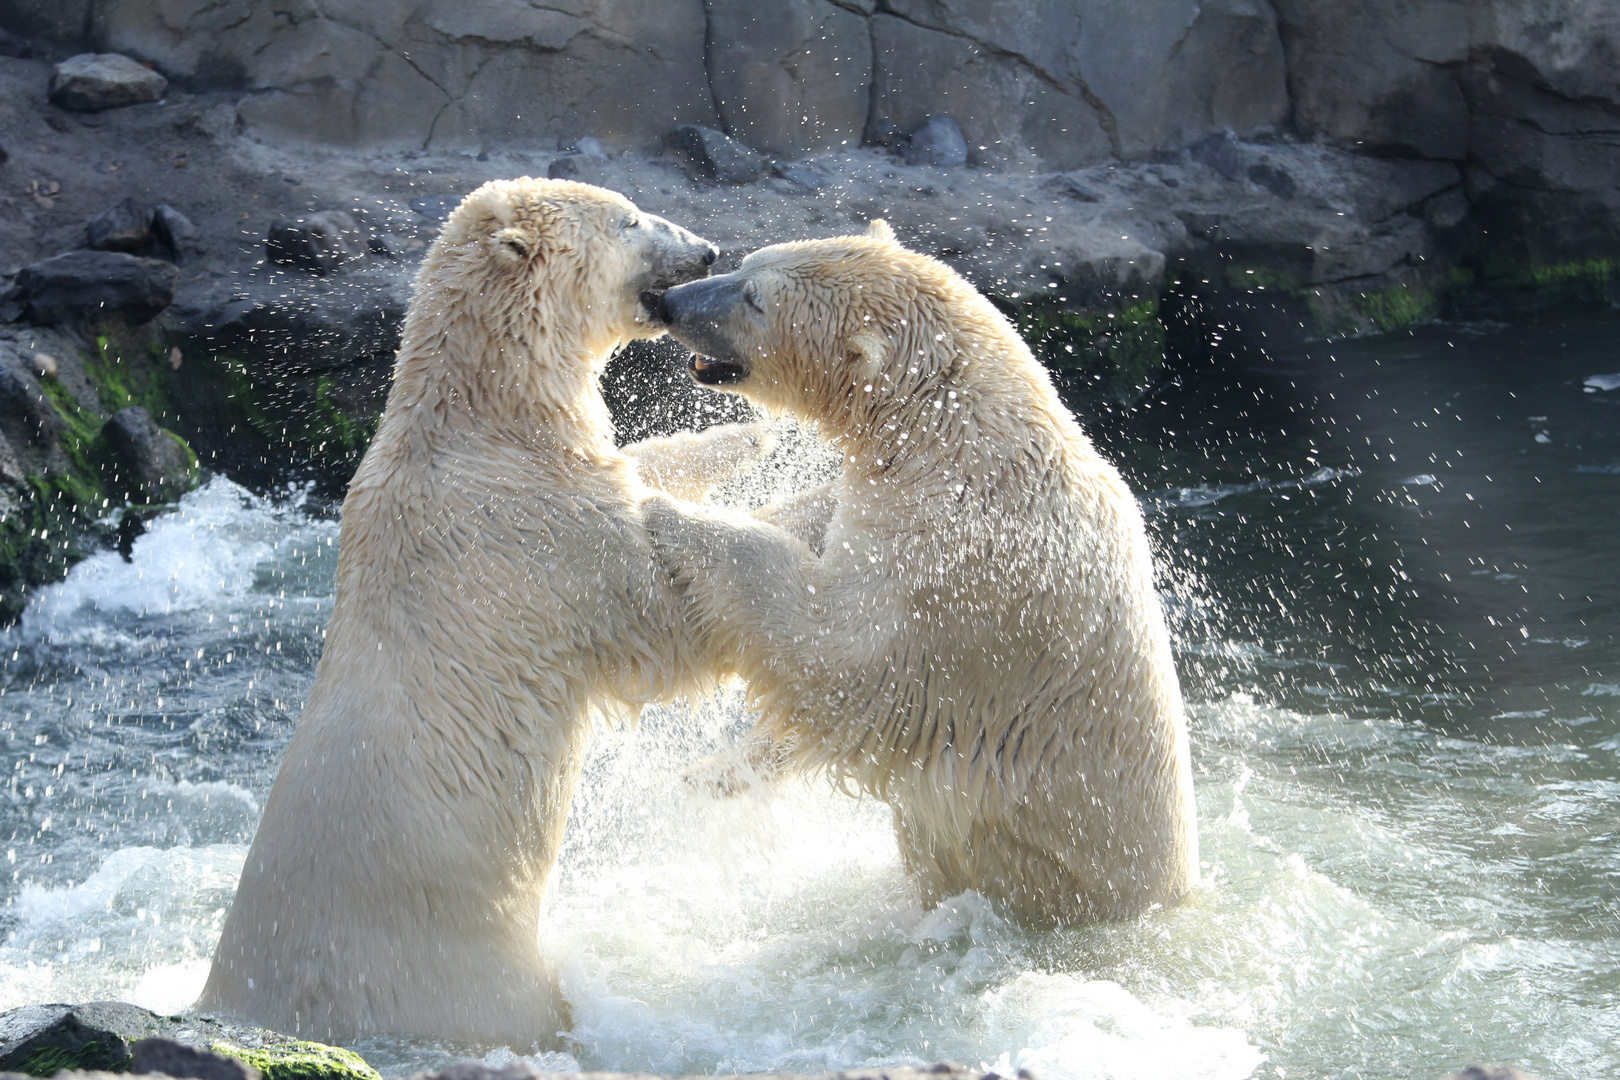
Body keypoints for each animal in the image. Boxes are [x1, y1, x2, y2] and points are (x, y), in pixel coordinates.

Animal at [197, 181, 771, 1049]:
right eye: (629, 219)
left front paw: (749, 434)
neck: (478, 417)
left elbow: (637, 472)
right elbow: (663, 615)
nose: (705, 249)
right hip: (463, 976)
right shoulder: (538, 536)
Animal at [648, 221, 1205, 932]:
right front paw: (708, 772)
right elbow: (827, 525)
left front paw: (668, 512)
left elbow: (838, 654)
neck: (955, 435)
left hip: (1050, 874)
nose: (669, 303)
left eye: (755, 300)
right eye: (747, 265)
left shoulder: (960, 567)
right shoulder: (896, 502)